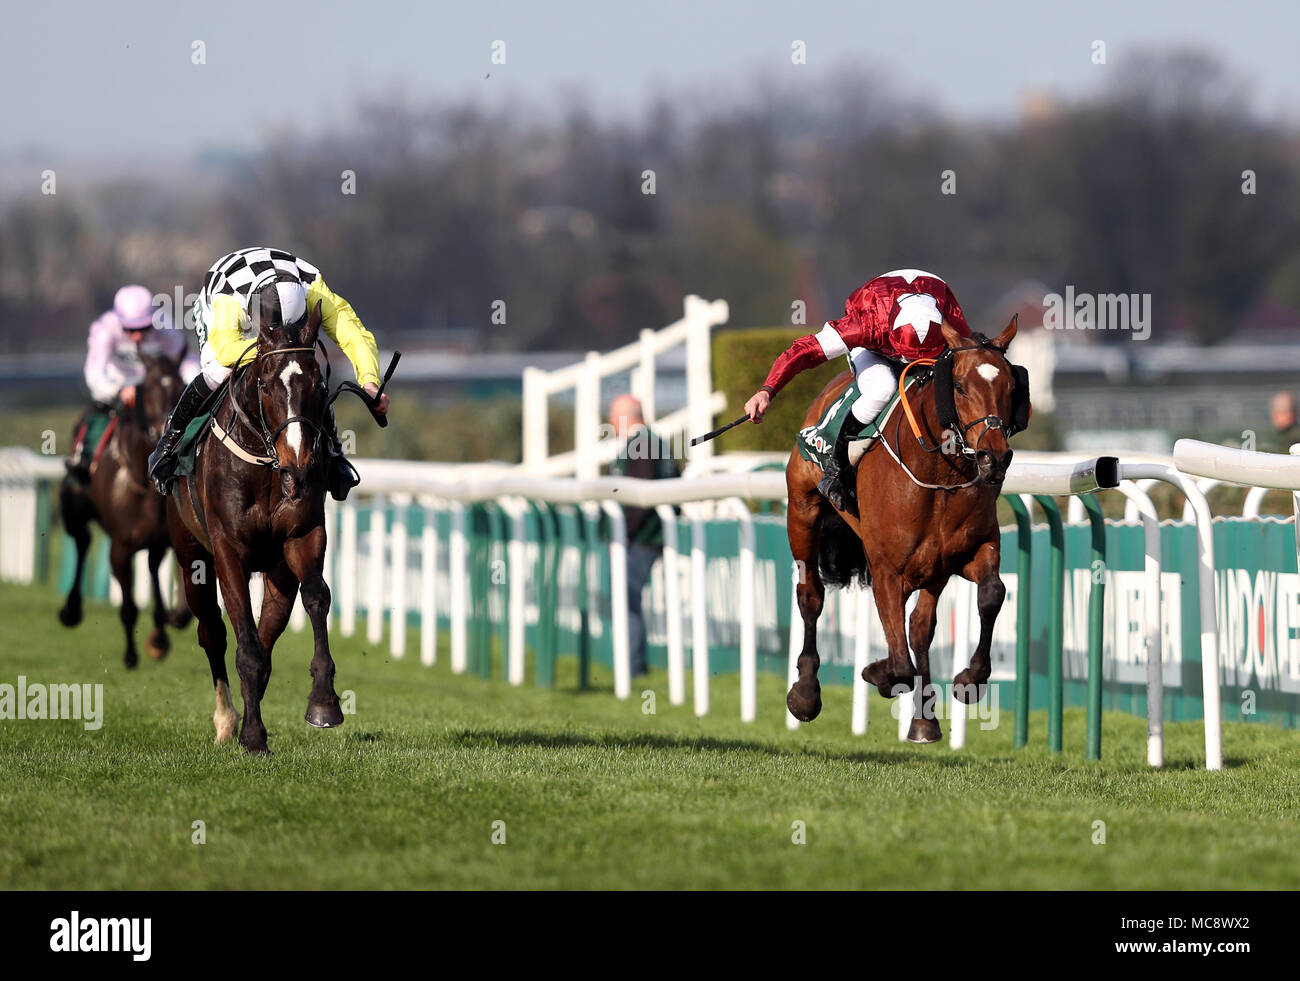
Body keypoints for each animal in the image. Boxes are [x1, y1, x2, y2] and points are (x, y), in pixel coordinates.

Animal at [59, 353, 192, 665]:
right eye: (149, 387)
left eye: (180, 385)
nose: (166, 430)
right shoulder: (120, 548)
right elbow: (129, 607)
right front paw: (131, 656)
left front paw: (167, 626)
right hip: (74, 509)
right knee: (82, 541)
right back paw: (71, 610)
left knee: (153, 566)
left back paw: (159, 635)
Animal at [166, 298, 340, 753]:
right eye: (265, 384)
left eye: (319, 386)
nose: (298, 466)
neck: (266, 465)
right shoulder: (229, 551)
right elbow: (242, 639)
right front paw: (252, 734)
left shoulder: (302, 535)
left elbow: (316, 597)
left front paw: (323, 701)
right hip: (190, 555)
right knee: (212, 631)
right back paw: (228, 721)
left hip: (277, 572)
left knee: (268, 633)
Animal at [780, 318, 1024, 738]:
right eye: (959, 386)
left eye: (1011, 386)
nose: (994, 458)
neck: (938, 473)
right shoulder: (887, 572)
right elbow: (899, 665)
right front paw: (875, 672)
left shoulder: (968, 553)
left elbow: (993, 593)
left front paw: (970, 679)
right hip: (803, 512)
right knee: (810, 595)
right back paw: (805, 694)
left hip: (933, 571)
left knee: (920, 626)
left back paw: (924, 721)